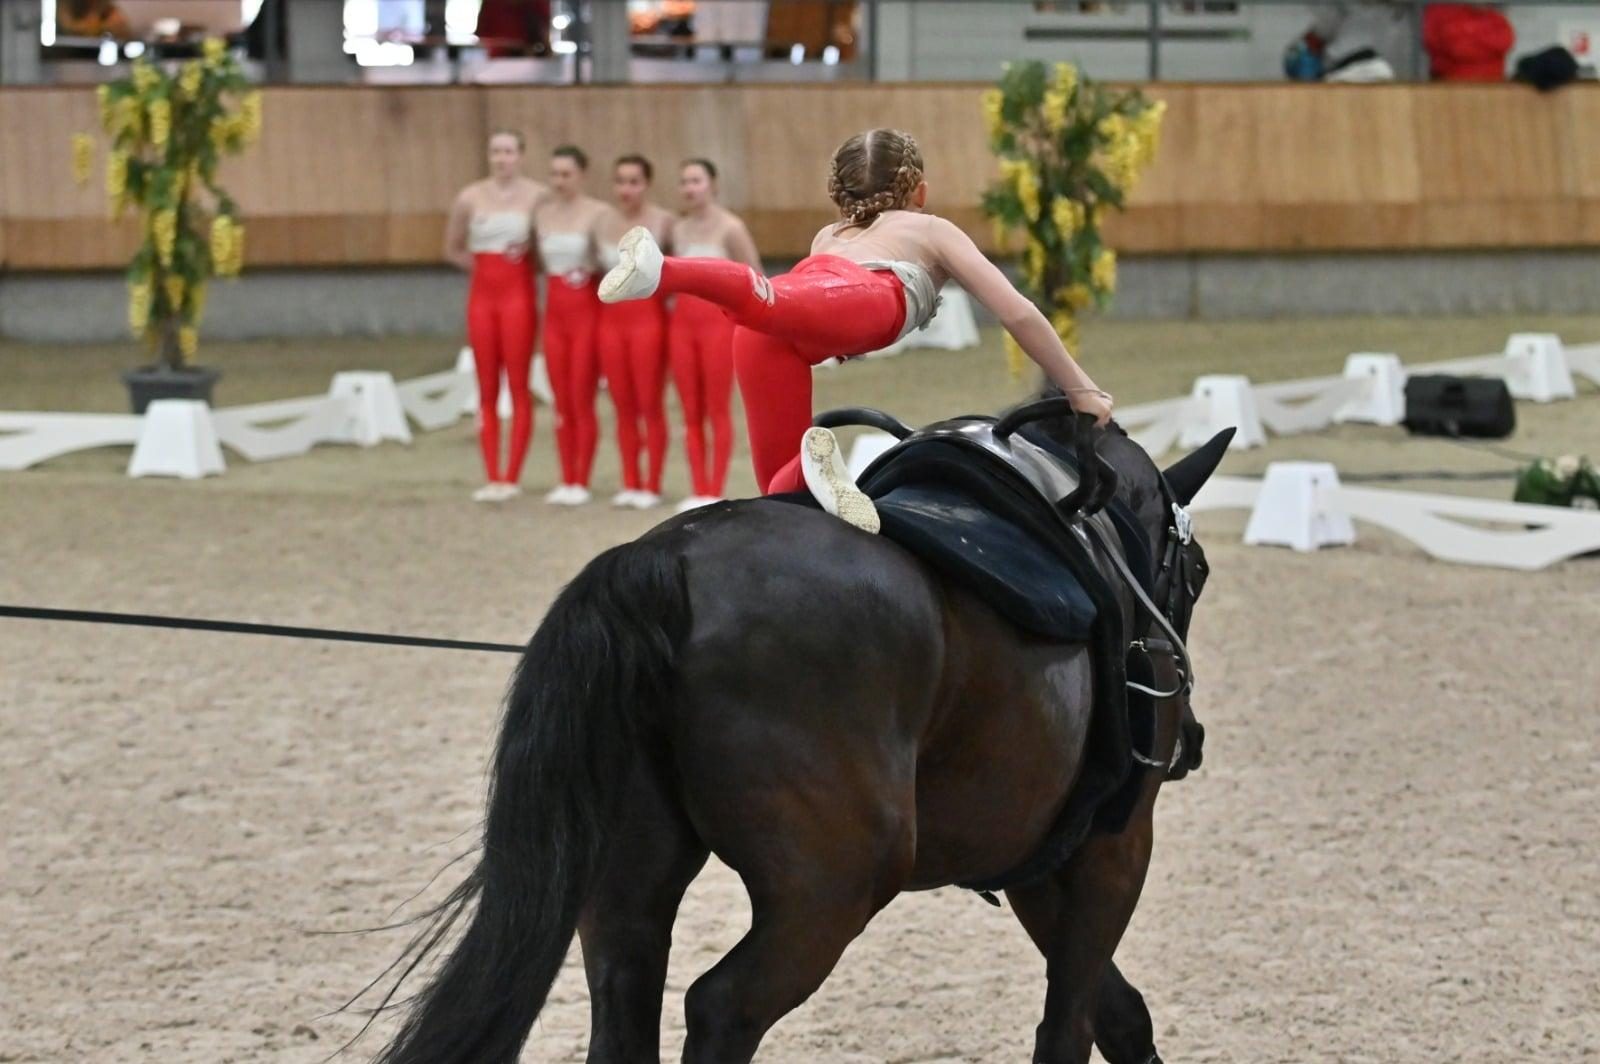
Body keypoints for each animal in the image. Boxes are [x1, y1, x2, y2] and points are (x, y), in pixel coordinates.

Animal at [368, 409, 1228, 1062]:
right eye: (1198, 574)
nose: (1189, 743)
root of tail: (666, 564)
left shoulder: (1039, 863)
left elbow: (1117, 1013)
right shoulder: (1112, 850)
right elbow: (1072, 1022)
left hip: (627, 885)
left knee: (626, 1001)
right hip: (833, 885)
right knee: (722, 1006)